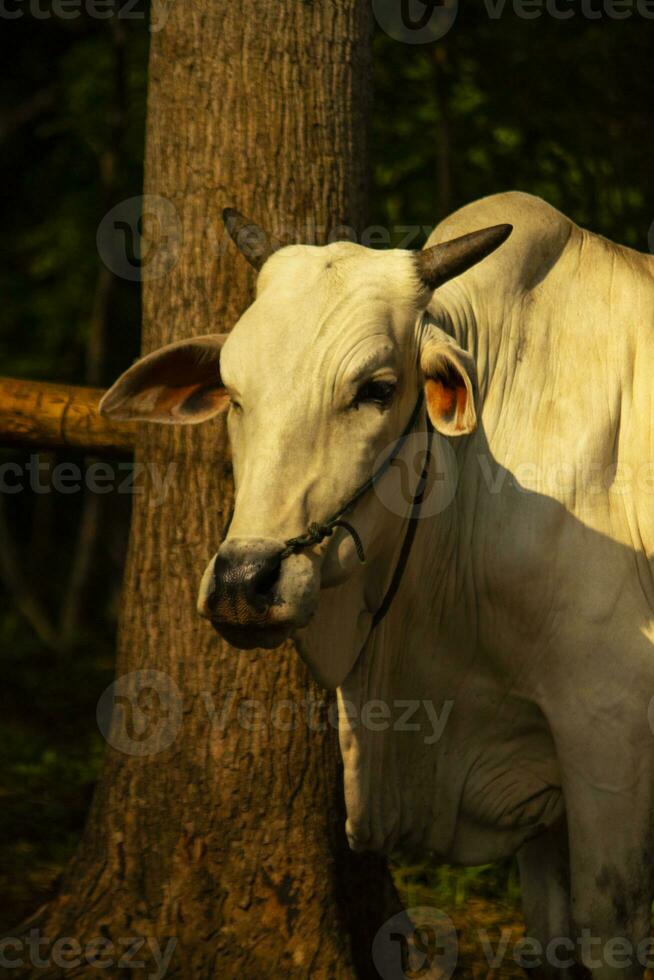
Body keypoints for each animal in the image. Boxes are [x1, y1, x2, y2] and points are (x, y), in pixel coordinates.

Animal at [100, 193, 654, 980]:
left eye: (377, 390)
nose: (244, 581)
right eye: (234, 395)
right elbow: (549, 941)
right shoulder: (539, 762)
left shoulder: (608, 727)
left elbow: (608, 934)